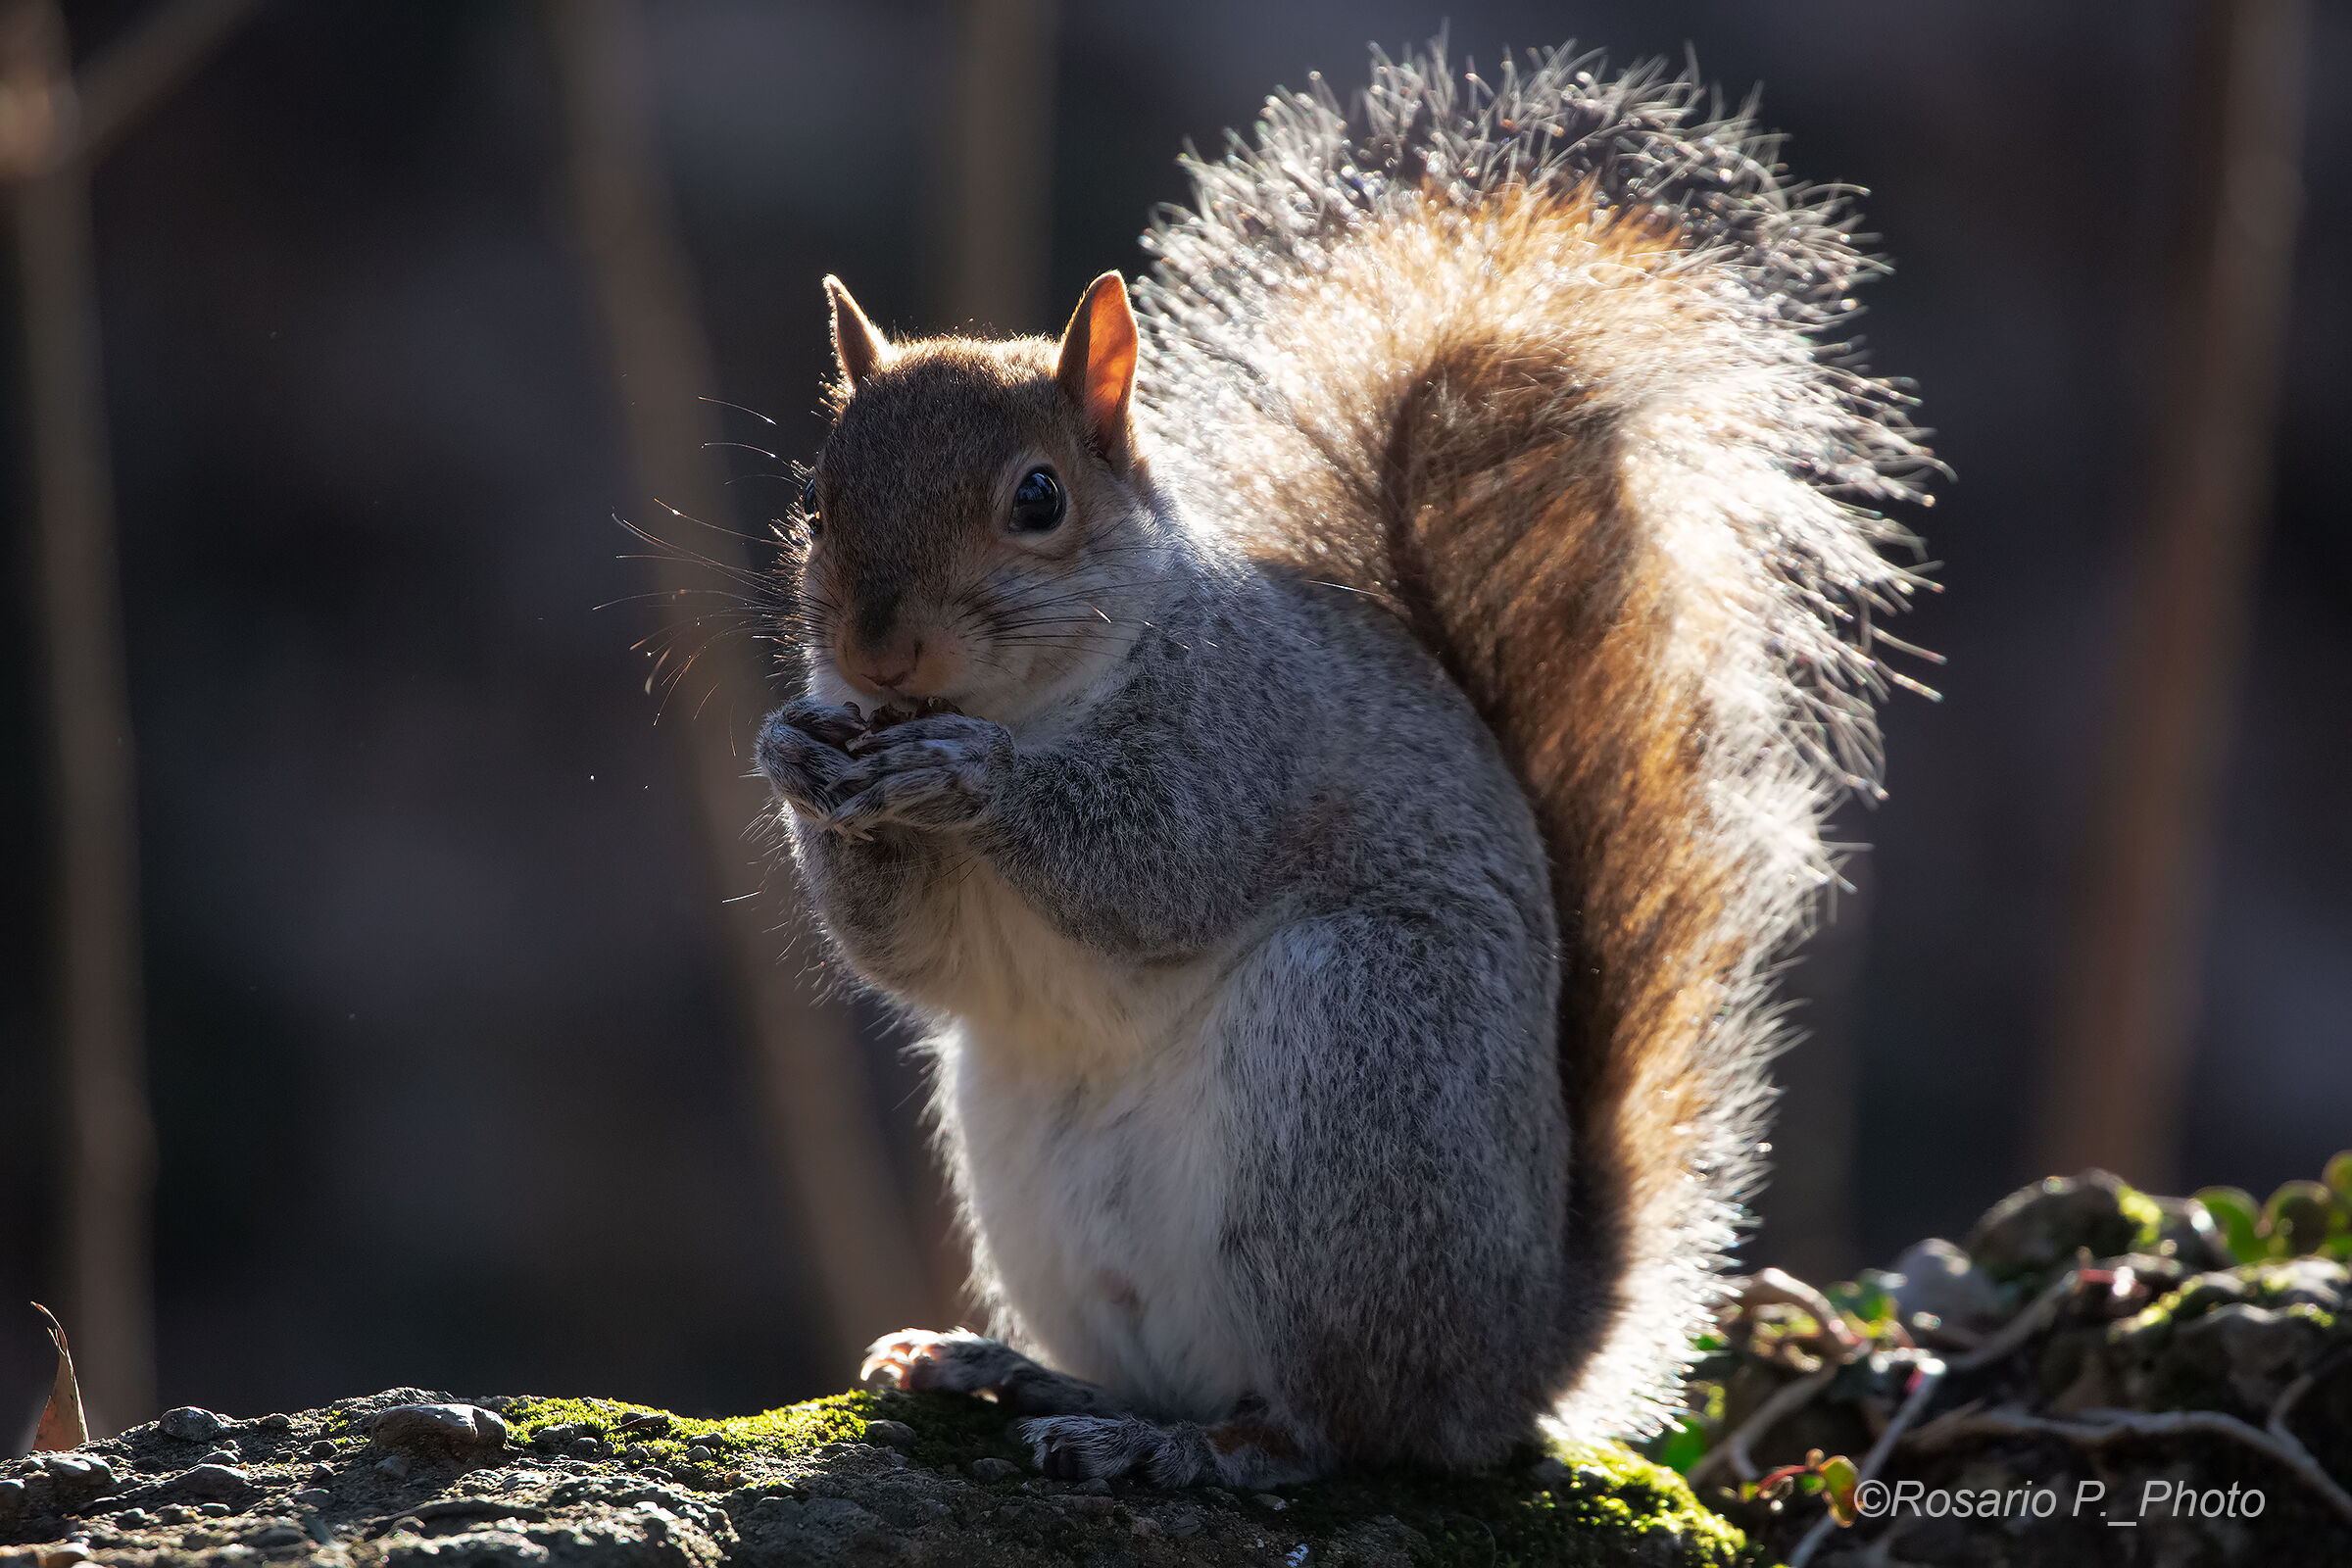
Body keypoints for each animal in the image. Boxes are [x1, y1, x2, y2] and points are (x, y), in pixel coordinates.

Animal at [753, 44, 1933, 1488]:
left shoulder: (1242, 730)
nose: (877, 653)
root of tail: (1516, 1363)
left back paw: (1195, 1448)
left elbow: (1157, 862)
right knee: (1164, 1369)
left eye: (1038, 499)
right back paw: (1009, 1370)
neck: (1038, 694)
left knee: (1338, 1427)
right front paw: (796, 758)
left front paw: (968, 773)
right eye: (817, 499)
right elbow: (911, 954)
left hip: (1348, 1077)